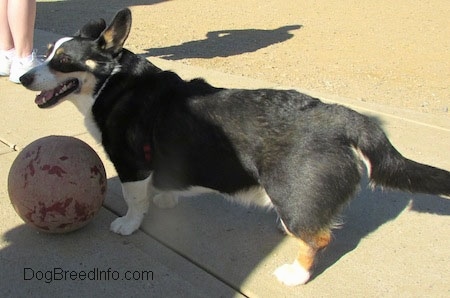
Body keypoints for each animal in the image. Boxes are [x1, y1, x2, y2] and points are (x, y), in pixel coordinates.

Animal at [18, 8, 450, 286]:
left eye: (63, 61)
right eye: (48, 53)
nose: (22, 78)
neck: (113, 82)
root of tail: (343, 118)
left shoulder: (131, 165)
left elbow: (134, 201)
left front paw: (128, 224)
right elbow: (159, 188)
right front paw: (165, 199)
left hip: (291, 196)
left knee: (319, 238)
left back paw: (295, 274)